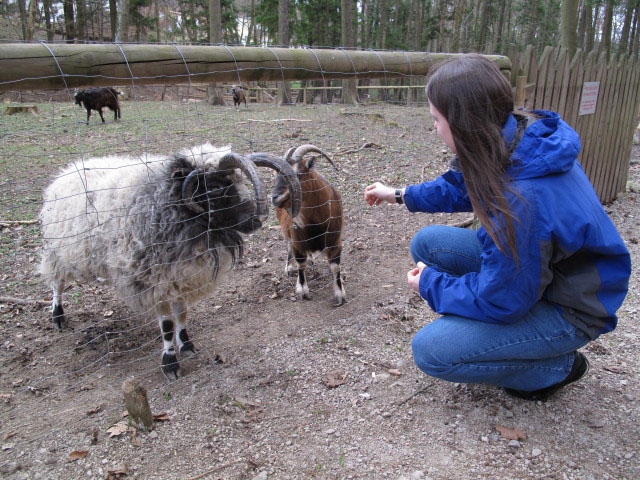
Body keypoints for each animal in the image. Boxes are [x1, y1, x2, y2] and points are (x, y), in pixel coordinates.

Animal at [39, 142, 300, 378]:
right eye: (214, 189)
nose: (258, 220)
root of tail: (66, 171)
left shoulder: (181, 274)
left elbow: (181, 314)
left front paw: (186, 345)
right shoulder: (156, 281)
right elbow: (166, 326)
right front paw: (170, 363)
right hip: (57, 250)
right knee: (57, 282)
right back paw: (57, 316)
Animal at [248, 144, 344, 306]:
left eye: (297, 174)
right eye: (277, 174)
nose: (275, 197)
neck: (317, 222)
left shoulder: (335, 241)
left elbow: (335, 267)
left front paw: (340, 294)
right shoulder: (297, 240)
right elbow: (301, 264)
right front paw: (302, 290)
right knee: (288, 246)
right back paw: (290, 267)